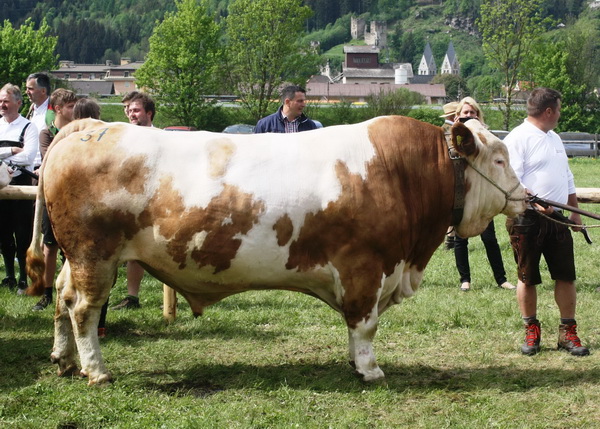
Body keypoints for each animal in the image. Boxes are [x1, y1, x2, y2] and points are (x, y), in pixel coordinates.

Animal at [27, 115, 524, 382]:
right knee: (84, 310)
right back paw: (96, 370)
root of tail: (90, 126)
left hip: (78, 258)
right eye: (500, 159)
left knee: (62, 298)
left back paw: (63, 360)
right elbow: (365, 326)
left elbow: (355, 327)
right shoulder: (365, 268)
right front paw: (369, 369)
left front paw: (353, 362)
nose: (523, 196)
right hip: (96, 255)